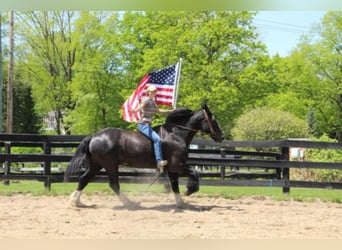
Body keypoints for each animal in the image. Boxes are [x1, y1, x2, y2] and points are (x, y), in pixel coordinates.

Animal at [64, 101, 224, 207]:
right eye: (213, 120)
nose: (221, 136)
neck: (176, 135)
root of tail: (94, 136)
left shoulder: (172, 169)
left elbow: (174, 185)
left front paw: (180, 202)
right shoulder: (177, 165)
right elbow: (195, 173)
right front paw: (189, 190)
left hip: (96, 164)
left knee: (84, 179)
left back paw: (76, 202)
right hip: (109, 165)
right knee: (113, 184)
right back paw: (129, 203)